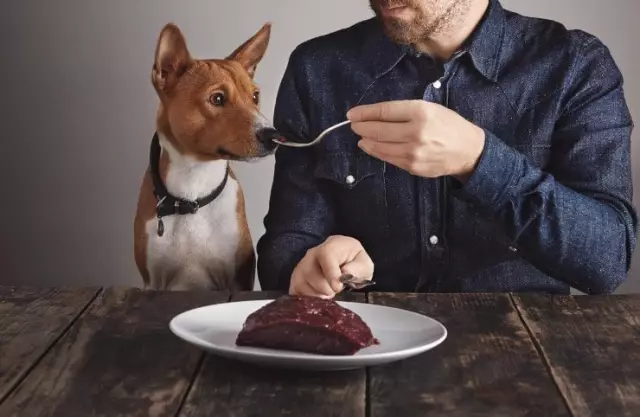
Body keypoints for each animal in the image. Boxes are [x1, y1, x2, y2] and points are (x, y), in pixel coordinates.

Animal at [132, 22, 278, 290]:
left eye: (255, 97)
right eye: (217, 98)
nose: (273, 135)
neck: (193, 192)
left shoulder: (236, 279)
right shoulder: (153, 281)